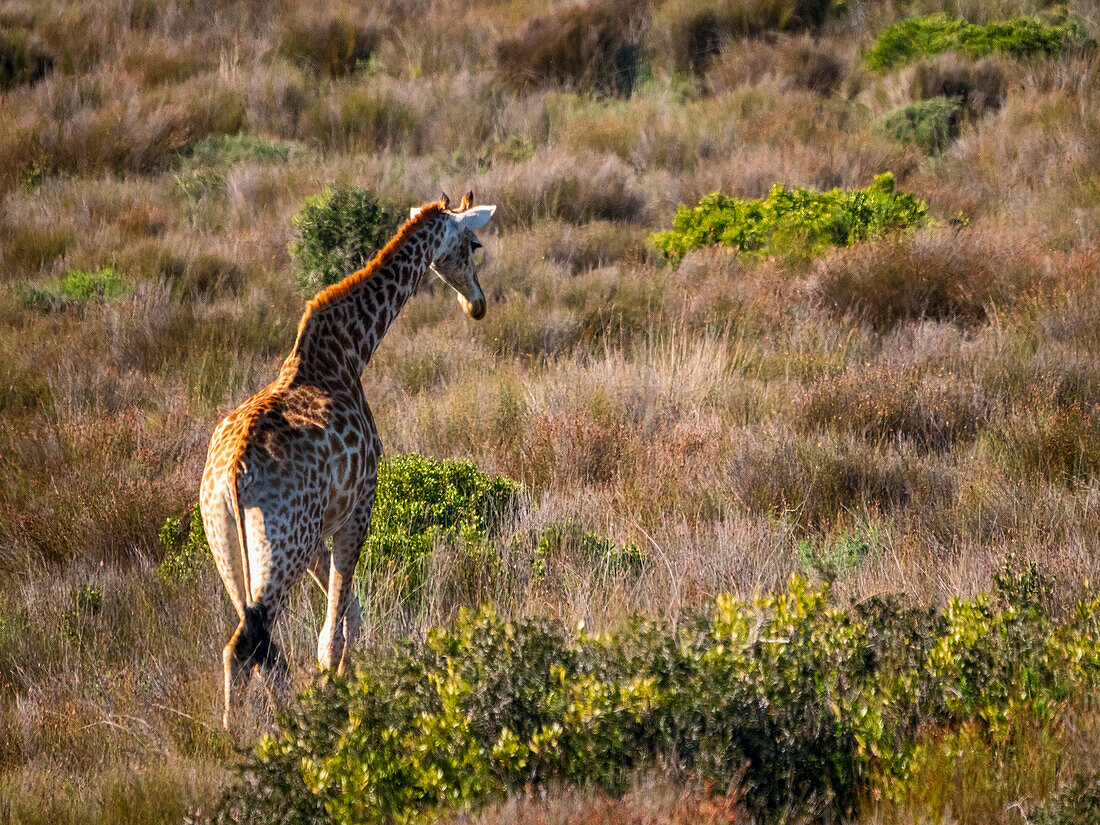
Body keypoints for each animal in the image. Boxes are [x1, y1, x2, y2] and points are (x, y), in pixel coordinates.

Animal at [200, 190, 497, 726]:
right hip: (282, 545)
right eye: (474, 243)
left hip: (227, 546)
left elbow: (349, 616)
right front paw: (336, 695)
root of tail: (232, 476)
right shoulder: (361, 505)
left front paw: (337, 689)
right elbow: (331, 632)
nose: (477, 305)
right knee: (249, 644)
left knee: (253, 645)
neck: (351, 350)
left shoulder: (322, 526)